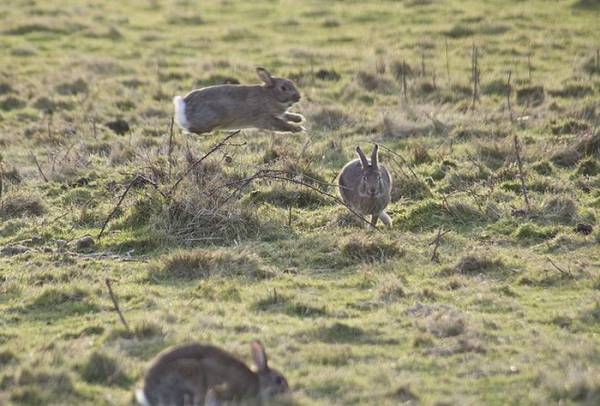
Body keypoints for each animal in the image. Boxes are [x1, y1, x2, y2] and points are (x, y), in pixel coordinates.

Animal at [173, 67, 304, 135]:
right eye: (283, 88)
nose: (298, 97)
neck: (270, 95)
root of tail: (183, 105)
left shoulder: (278, 114)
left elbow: (286, 115)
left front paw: (300, 119)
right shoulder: (264, 118)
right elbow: (282, 124)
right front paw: (298, 129)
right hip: (210, 118)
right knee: (190, 129)